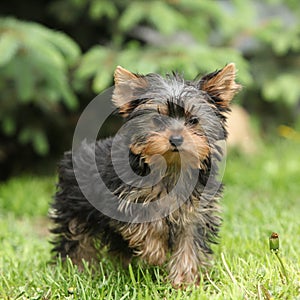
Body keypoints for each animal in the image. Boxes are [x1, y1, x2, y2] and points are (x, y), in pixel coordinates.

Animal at [49, 64, 241, 288]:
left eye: (194, 120)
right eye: (157, 120)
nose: (176, 139)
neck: (171, 168)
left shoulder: (196, 212)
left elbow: (189, 244)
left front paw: (183, 282)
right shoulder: (125, 199)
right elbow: (147, 223)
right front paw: (155, 253)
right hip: (75, 208)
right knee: (76, 239)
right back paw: (79, 270)